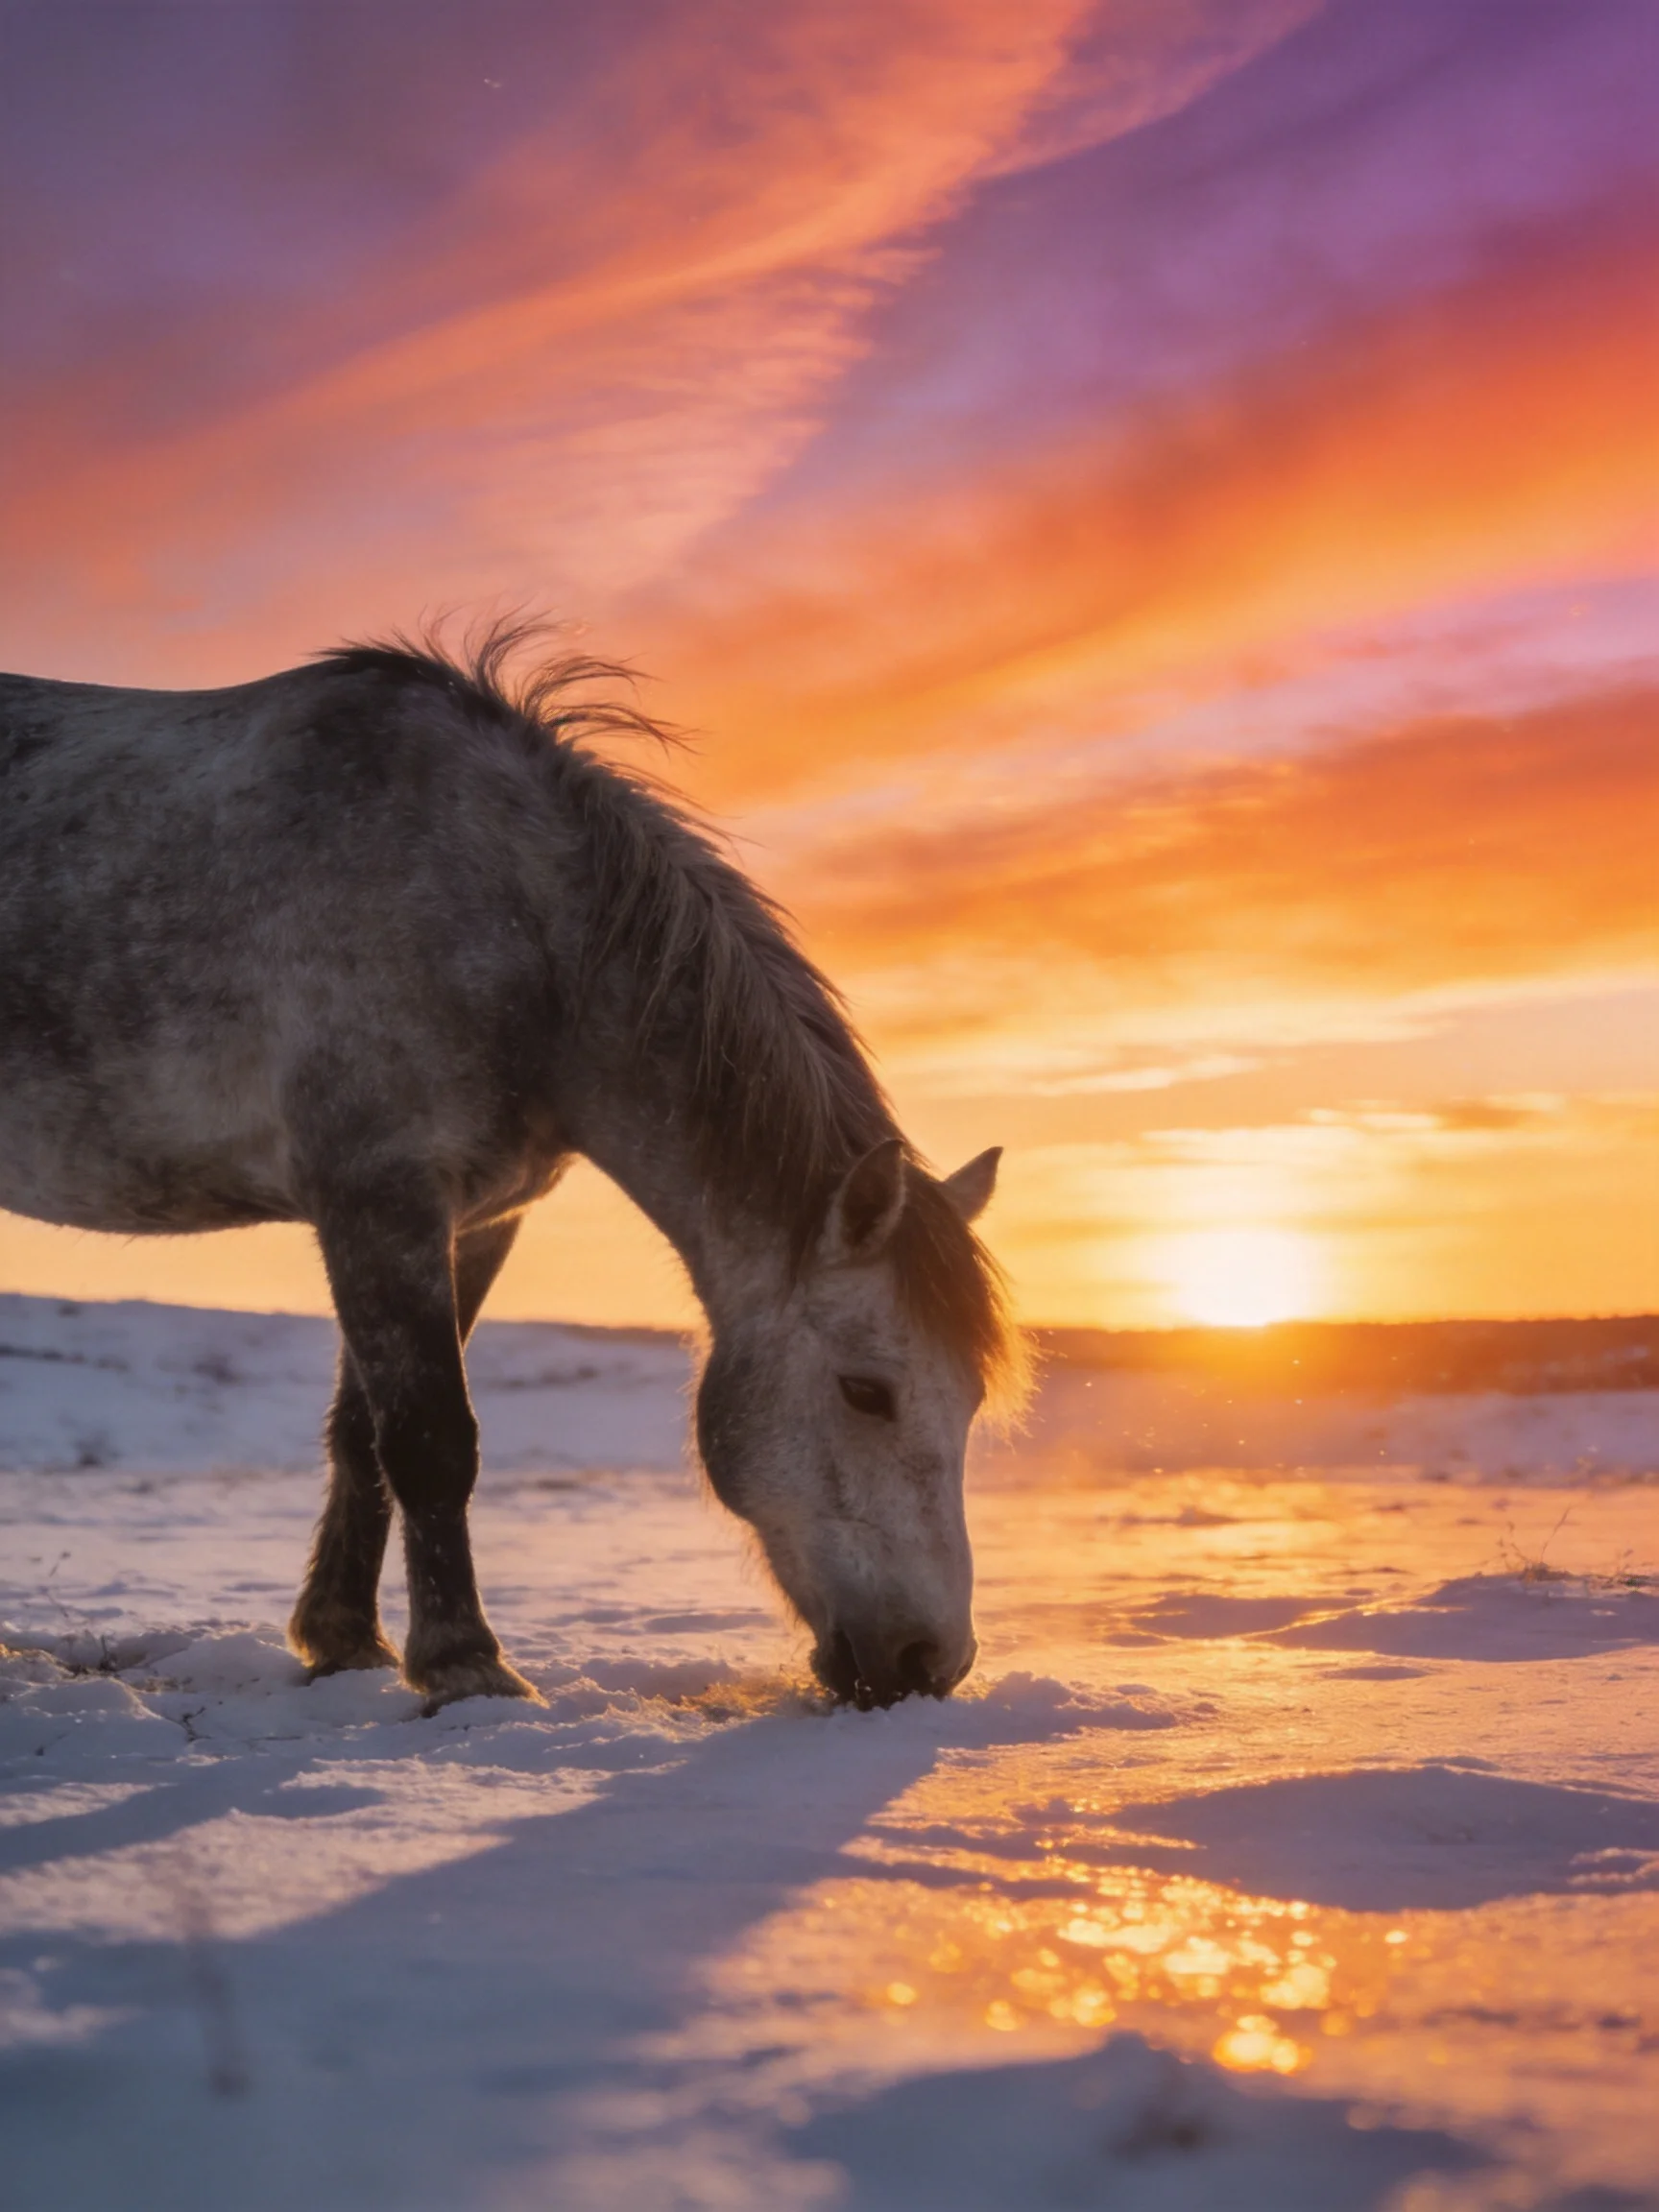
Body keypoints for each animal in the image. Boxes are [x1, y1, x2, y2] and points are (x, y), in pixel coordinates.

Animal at [0, 627, 1017, 1710]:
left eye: (970, 1399)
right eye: (867, 1391)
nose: (931, 1663)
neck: (516, 921)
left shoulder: (474, 1220)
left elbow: (361, 1435)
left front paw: (344, 1641)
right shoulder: (378, 1197)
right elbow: (430, 1438)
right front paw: (464, 1664)